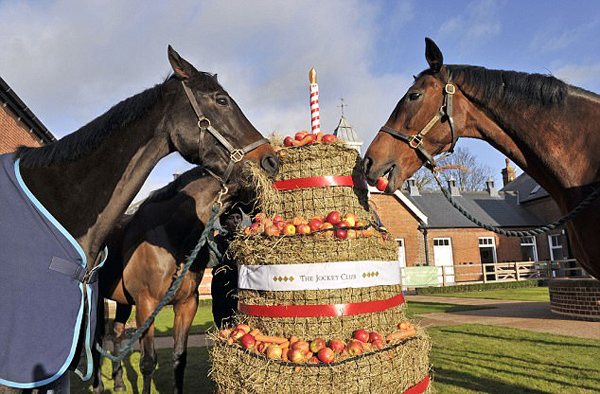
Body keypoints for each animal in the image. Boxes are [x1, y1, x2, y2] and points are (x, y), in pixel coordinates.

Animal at [91, 167, 237, 394]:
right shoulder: (146, 304)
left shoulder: (187, 303)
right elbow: (148, 361)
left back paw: (119, 383)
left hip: (123, 301)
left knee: (117, 333)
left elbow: (179, 356)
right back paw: (98, 386)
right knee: (96, 340)